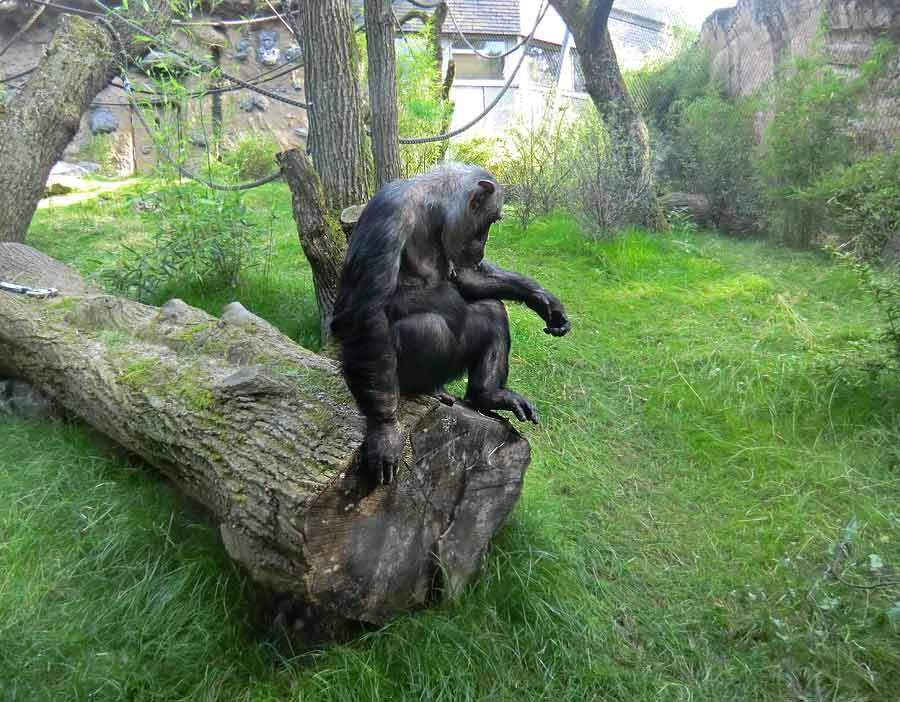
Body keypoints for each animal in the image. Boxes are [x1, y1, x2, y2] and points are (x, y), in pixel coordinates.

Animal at [330, 163, 568, 486]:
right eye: (491, 220)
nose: (483, 245)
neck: (433, 210)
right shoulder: (389, 214)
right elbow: (366, 310)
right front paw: (385, 432)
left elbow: (468, 277)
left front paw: (544, 300)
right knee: (426, 327)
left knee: (491, 309)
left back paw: (488, 395)